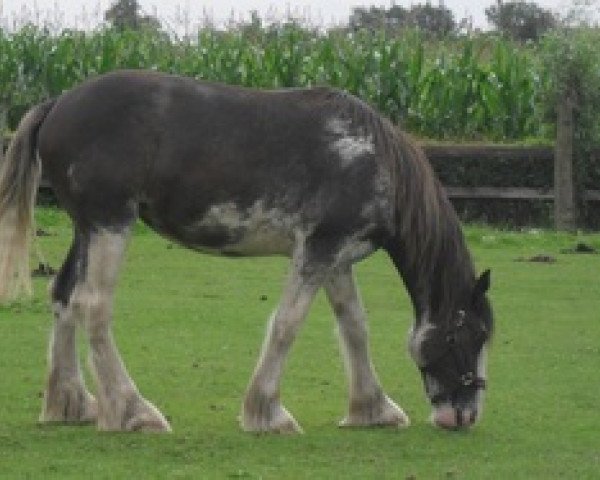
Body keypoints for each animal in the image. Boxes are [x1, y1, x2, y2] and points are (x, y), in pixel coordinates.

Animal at [0, 69, 492, 434]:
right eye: (473, 335)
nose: (465, 415)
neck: (369, 156)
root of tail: (59, 103)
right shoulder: (317, 250)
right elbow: (288, 325)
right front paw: (267, 414)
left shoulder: (336, 259)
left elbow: (354, 326)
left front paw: (372, 409)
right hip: (110, 224)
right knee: (93, 305)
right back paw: (133, 411)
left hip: (88, 229)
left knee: (65, 298)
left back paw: (71, 403)